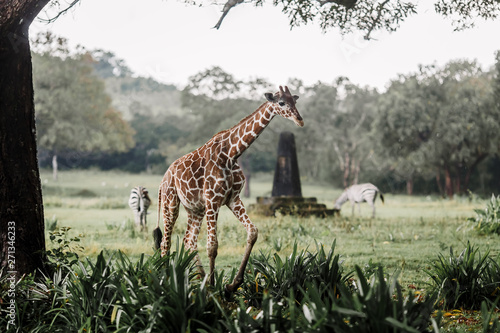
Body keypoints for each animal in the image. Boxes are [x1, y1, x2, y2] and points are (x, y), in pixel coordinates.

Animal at [152, 85, 302, 294]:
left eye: (294, 101)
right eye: (281, 103)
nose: (299, 120)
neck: (232, 153)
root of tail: (163, 179)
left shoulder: (233, 199)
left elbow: (253, 232)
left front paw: (232, 284)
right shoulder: (213, 200)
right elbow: (212, 246)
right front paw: (215, 288)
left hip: (195, 209)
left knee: (189, 241)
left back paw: (200, 279)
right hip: (170, 202)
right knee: (165, 242)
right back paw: (168, 282)